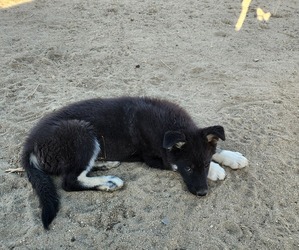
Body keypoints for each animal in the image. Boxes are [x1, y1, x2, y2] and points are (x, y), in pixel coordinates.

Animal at [22, 96, 248, 229]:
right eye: (188, 168)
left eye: (205, 164)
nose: (202, 193)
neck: (170, 125)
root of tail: (30, 143)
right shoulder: (155, 158)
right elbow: (173, 163)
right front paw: (217, 170)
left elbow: (214, 149)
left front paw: (230, 157)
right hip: (81, 133)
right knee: (70, 181)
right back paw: (109, 182)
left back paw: (106, 164)